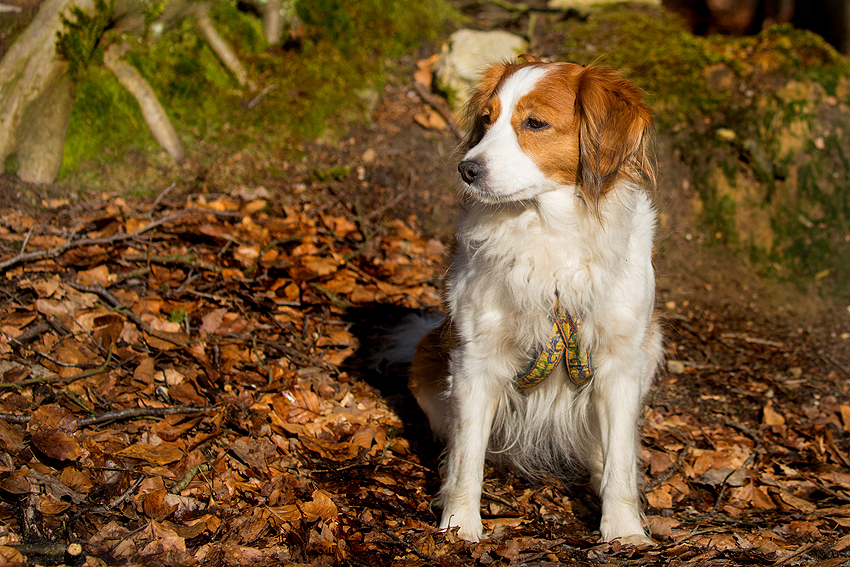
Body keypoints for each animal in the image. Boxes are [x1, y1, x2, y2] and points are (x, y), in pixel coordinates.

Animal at [400, 56, 664, 544]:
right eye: (486, 120)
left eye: (535, 123)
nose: (467, 169)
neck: (549, 232)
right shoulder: (475, 359)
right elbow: (467, 460)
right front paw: (458, 527)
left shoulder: (620, 364)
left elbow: (619, 461)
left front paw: (624, 532)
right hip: (427, 358)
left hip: (651, 346)